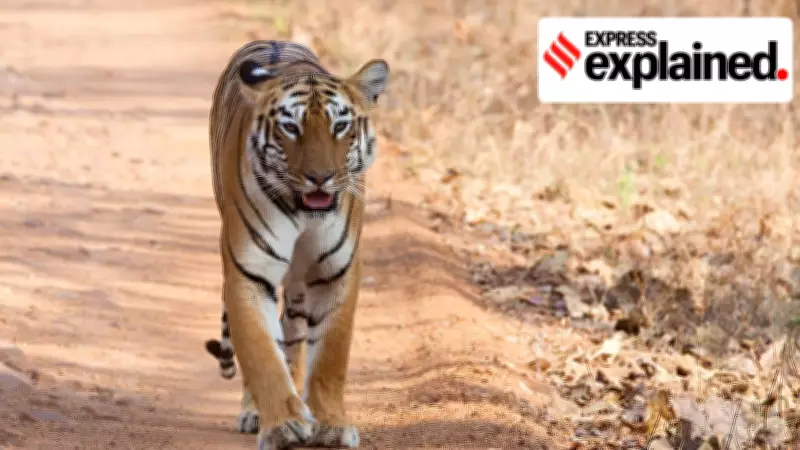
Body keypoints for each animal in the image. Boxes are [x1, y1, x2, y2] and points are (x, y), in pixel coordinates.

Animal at [203, 40, 388, 450]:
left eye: (340, 126)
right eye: (291, 128)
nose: (320, 177)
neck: (306, 215)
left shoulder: (337, 272)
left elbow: (330, 355)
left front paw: (331, 425)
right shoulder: (249, 272)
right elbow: (261, 352)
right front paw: (282, 425)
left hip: (301, 284)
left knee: (294, 334)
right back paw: (258, 413)